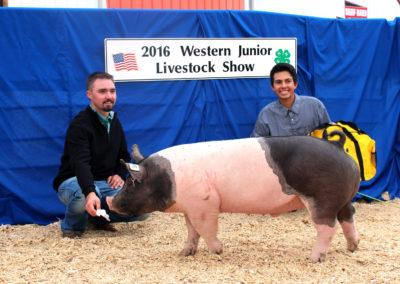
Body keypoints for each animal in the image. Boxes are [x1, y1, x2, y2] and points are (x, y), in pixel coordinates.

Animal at [106, 131, 360, 262]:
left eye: (131, 182)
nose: (109, 201)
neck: (169, 179)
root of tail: (337, 145)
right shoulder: (190, 207)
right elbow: (191, 232)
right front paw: (184, 253)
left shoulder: (205, 204)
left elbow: (206, 229)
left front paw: (218, 251)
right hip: (342, 199)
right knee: (348, 217)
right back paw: (352, 248)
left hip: (322, 198)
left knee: (328, 227)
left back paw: (314, 258)